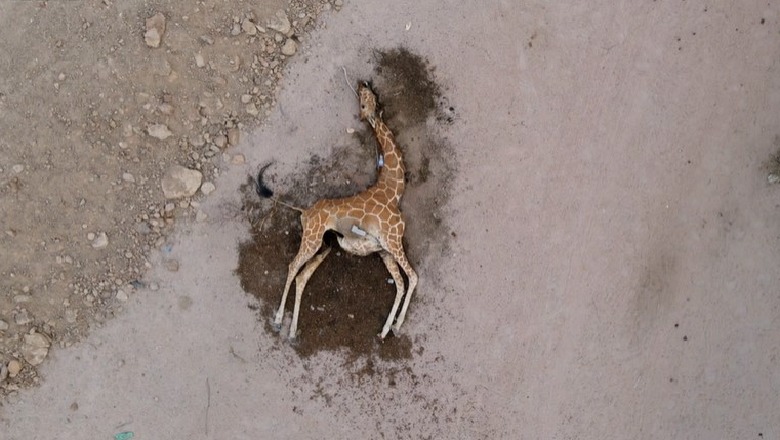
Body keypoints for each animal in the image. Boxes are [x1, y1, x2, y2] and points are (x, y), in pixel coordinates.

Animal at [256, 81, 418, 338]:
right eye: (362, 103)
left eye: (369, 97)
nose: (362, 82)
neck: (394, 190)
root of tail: (304, 211)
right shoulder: (393, 241)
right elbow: (413, 278)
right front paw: (397, 325)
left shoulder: (385, 250)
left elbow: (402, 284)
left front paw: (387, 328)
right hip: (312, 239)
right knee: (293, 266)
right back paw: (279, 320)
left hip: (324, 246)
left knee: (302, 276)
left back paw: (292, 330)